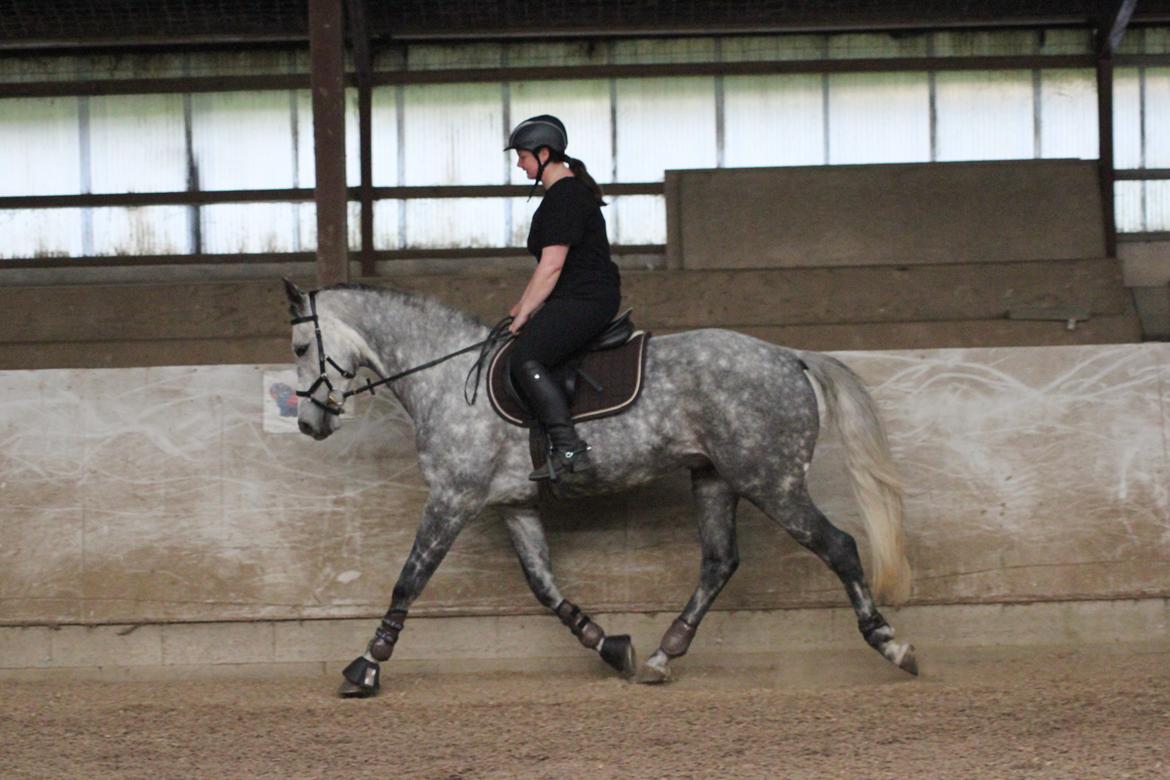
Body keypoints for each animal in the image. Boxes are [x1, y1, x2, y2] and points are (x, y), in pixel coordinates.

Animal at [280, 279, 912, 696]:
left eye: (299, 348)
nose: (309, 424)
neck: (446, 378)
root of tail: (787, 355)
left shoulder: (452, 499)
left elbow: (408, 581)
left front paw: (366, 666)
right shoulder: (514, 504)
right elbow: (545, 587)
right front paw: (610, 647)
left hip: (770, 479)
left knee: (839, 547)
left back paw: (893, 645)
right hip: (715, 478)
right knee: (718, 563)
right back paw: (660, 656)